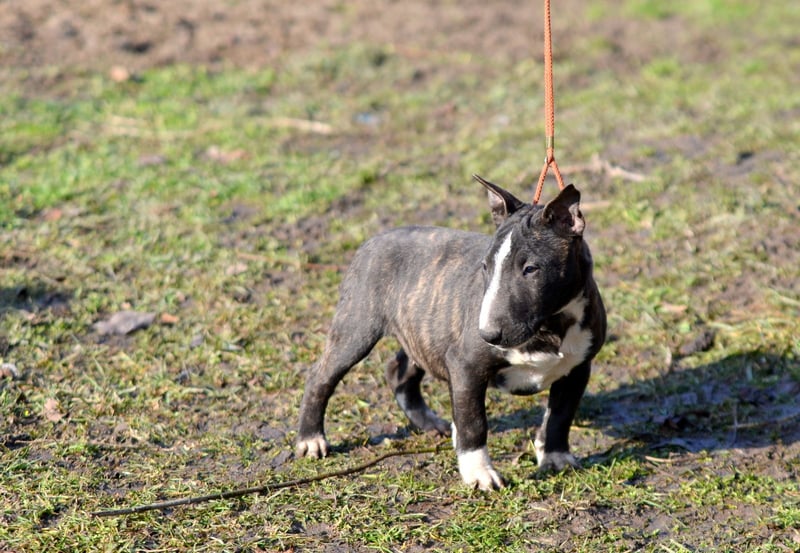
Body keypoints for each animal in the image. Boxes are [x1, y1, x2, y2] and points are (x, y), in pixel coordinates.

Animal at [296, 175, 606, 490]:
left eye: (531, 268)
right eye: (485, 266)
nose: (488, 335)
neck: (550, 325)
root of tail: (373, 239)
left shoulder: (577, 368)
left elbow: (560, 416)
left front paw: (555, 459)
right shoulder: (466, 364)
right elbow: (473, 422)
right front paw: (480, 473)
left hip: (423, 331)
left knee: (399, 371)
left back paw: (430, 423)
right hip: (356, 326)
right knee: (321, 376)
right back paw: (311, 439)